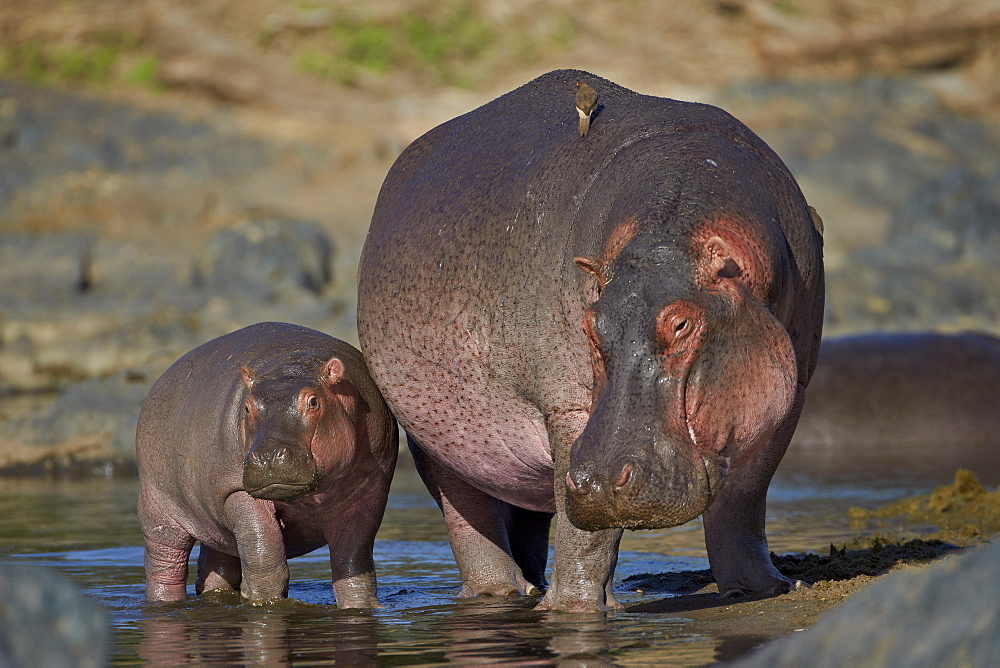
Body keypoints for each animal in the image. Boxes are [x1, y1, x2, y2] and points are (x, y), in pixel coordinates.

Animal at [134, 320, 398, 608]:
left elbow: (353, 564)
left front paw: (362, 607)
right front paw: (263, 604)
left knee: (217, 564)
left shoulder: (369, 493)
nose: (268, 456)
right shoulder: (236, 493)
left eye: (313, 401)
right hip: (158, 509)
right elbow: (265, 557)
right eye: (248, 407)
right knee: (165, 565)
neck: (293, 365)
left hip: (216, 523)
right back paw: (164, 602)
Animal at [356, 69, 824, 612]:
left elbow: (744, 501)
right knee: (469, 515)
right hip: (437, 436)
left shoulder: (791, 391)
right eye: (590, 324)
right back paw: (502, 593)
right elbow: (587, 534)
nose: (599, 482)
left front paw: (762, 589)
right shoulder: (568, 407)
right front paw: (572, 611)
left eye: (682, 324)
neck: (672, 225)